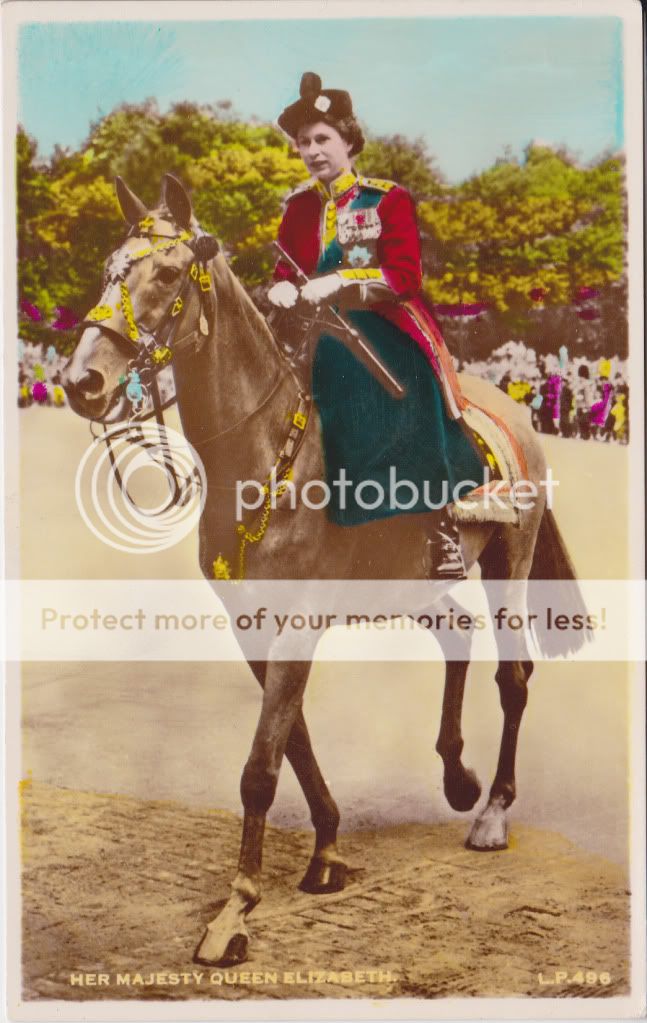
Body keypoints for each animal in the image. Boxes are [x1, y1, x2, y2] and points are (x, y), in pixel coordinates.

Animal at [61, 173, 585, 965]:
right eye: (106, 270)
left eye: (169, 275)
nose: (81, 380)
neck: (265, 449)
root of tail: (510, 408)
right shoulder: (253, 626)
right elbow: (294, 741)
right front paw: (328, 850)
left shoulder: (298, 623)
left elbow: (260, 765)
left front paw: (236, 910)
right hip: (414, 582)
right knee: (456, 638)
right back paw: (457, 777)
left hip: (508, 562)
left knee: (512, 677)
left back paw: (492, 810)